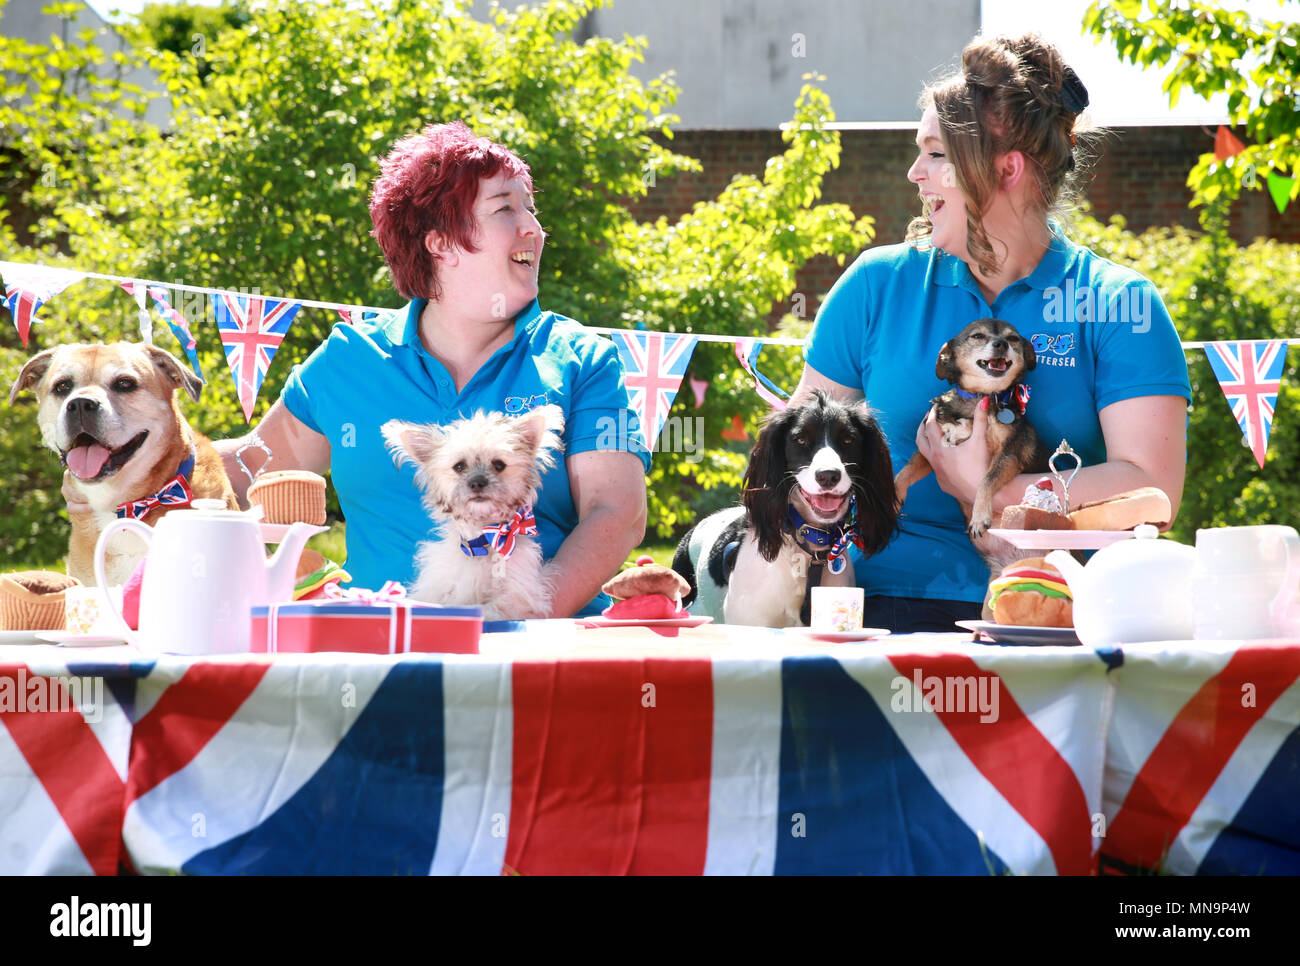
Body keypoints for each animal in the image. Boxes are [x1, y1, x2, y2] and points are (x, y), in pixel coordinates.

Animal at [379, 405, 564, 618]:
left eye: (499, 465)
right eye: (459, 466)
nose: (477, 482)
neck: (483, 542)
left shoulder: (520, 597)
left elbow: (491, 609)